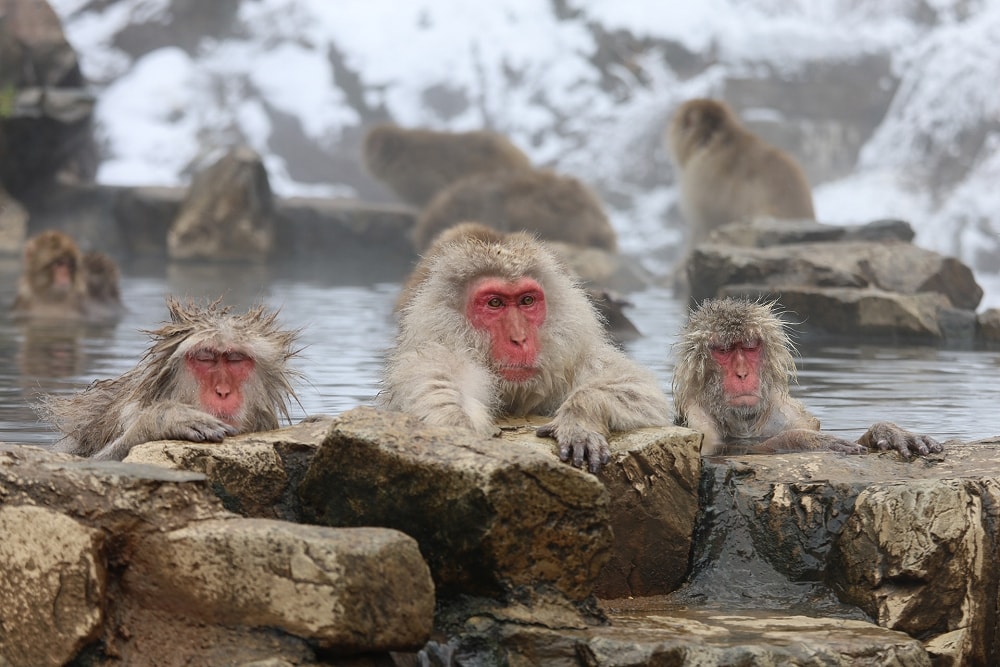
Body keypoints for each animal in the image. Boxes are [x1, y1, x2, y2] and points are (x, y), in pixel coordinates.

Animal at [377, 223, 671, 474]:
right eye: (495, 303)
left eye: (527, 300)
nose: (519, 339)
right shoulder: (437, 355)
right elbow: (434, 386)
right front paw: (460, 426)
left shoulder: (572, 358)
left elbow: (637, 389)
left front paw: (579, 421)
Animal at [671, 298, 943, 458]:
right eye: (724, 350)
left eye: (749, 347)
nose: (742, 373)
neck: (744, 425)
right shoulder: (699, 420)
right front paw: (803, 440)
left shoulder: (787, 413)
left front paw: (886, 432)